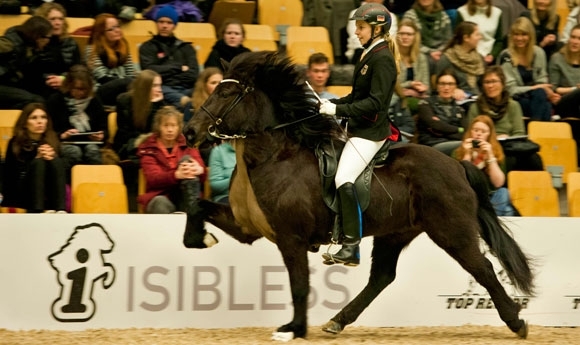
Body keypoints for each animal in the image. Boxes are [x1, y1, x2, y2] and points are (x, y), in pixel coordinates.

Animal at [186, 51, 536, 338]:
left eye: (226, 92)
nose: (190, 132)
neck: (274, 156)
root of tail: (457, 164)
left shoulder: (291, 238)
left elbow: (299, 285)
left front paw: (294, 329)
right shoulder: (248, 228)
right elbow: (196, 207)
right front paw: (202, 239)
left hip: (452, 231)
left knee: (483, 268)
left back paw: (516, 321)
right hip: (395, 233)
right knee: (382, 277)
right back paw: (337, 321)